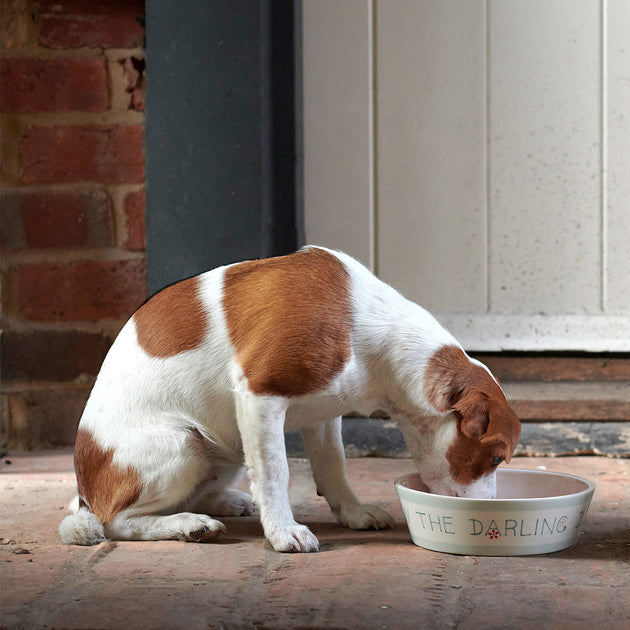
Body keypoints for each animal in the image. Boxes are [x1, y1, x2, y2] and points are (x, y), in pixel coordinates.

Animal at [59, 247, 524, 552]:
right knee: (117, 522)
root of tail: (85, 492)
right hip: (183, 445)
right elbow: (275, 473)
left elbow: (333, 466)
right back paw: (188, 524)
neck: (370, 328)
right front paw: (284, 532)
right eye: (495, 459)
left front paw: (353, 513)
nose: (490, 514)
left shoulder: (324, 413)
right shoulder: (259, 396)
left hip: (222, 450)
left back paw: (226, 502)